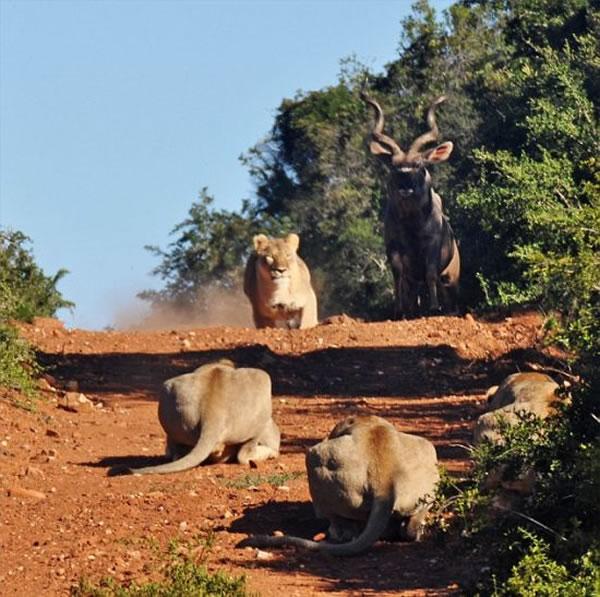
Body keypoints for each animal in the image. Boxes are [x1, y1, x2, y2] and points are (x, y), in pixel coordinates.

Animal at [127, 360, 282, 472]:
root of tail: (211, 412)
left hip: (167, 390)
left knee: (176, 454)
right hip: (263, 381)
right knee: (244, 455)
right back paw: (269, 453)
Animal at [239, 414, 440, 556]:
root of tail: (384, 480)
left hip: (315, 460)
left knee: (339, 526)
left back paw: (334, 531)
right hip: (428, 457)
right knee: (411, 528)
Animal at [360, 89, 460, 316]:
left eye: (418, 164)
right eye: (394, 166)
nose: (405, 184)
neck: (412, 225)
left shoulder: (432, 246)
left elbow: (431, 272)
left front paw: (434, 307)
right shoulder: (393, 248)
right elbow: (398, 275)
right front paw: (399, 310)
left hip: (452, 275)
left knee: (443, 285)